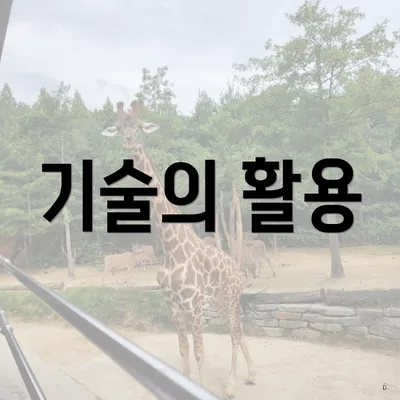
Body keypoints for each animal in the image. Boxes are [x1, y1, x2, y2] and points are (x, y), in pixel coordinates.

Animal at [101, 101, 255, 399]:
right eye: (119, 127)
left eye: (139, 126)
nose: (128, 142)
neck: (170, 248)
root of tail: (237, 270)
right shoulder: (173, 304)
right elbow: (183, 349)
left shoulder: (193, 304)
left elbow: (199, 352)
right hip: (219, 300)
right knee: (240, 332)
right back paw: (251, 375)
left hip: (230, 297)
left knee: (234, 333)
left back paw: (231, 385)